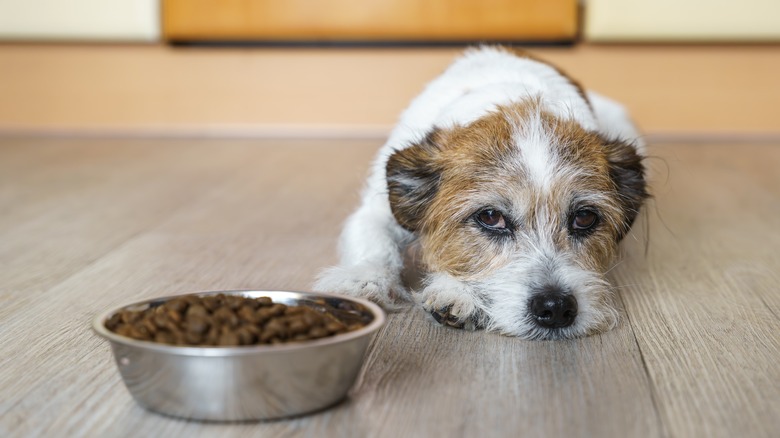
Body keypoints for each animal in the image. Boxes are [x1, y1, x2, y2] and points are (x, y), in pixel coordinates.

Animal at [314, 45, 648, 338]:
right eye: (490, 217)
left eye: (585, 218)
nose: (555, 308)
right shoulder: (378, 208)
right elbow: (374, 240)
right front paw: (362, 279)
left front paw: (455, 290)